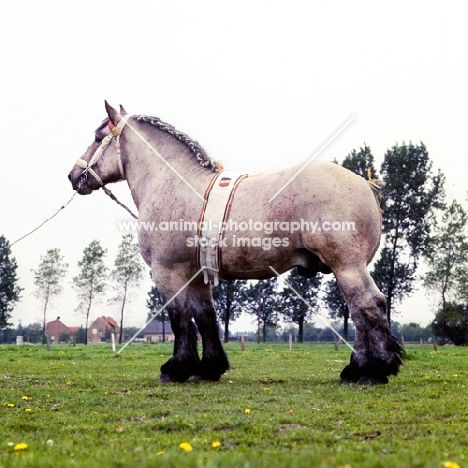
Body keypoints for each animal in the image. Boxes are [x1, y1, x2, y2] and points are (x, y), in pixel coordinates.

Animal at [66, 101, 402, 384]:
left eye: (97, 137)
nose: (73, 176)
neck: (174, 183)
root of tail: (365, 183)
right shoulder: (198, 276)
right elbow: (205, 318)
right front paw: (208, 369)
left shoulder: (167, 272)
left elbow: (180, 320)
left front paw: (176, 369)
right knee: (362, 310)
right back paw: (357, 370)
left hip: (347, 266)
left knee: (367, 306)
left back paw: (372, 372)